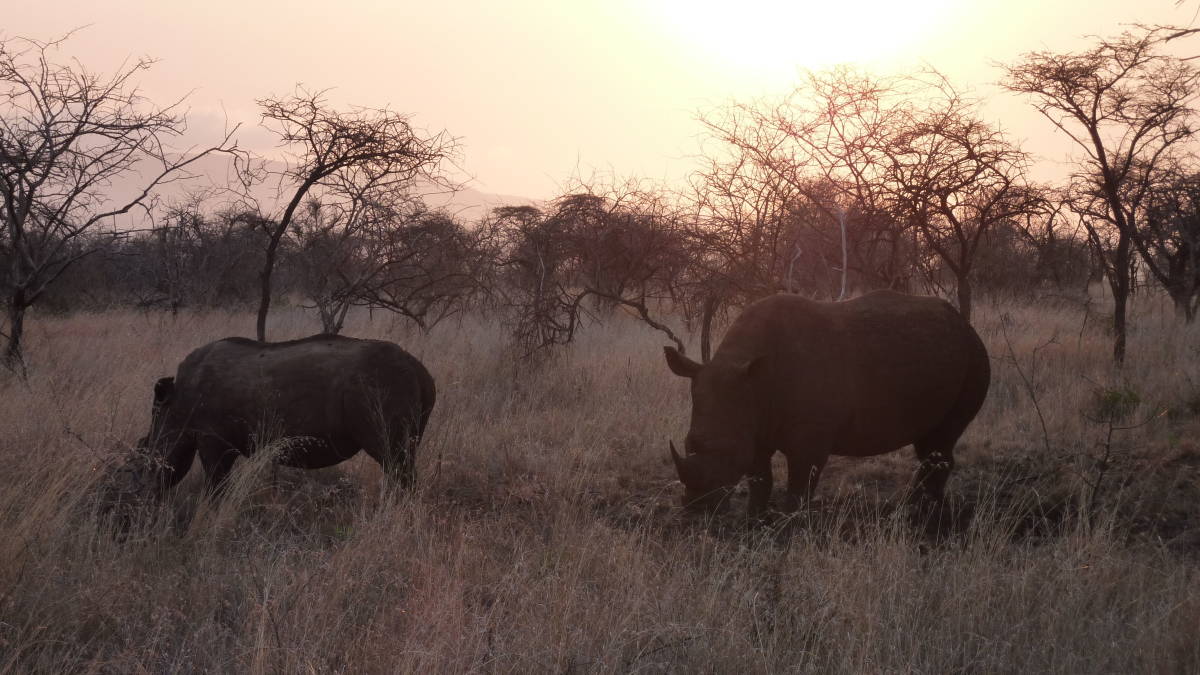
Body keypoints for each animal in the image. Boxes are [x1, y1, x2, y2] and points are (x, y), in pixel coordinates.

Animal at [135, 334, 435, 497]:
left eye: (146, 452)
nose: (147, 493)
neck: (174, 408)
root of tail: (420, 371)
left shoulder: (213, 440)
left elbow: (215, 485)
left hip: (380, 386)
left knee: (395, 463)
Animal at [665, 290, 990, 516]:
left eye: (727, 452)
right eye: (689, 444)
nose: (695, 507)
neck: (750, 376)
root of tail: (966, 325)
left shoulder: (809, 436)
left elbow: (798, 483)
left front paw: (787, 524)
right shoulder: (755, 424)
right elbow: (760, 478)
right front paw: (752, 520)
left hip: (974, 357)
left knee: (943, 437)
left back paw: (923, 514)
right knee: (928, 442)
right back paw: (915, 508)